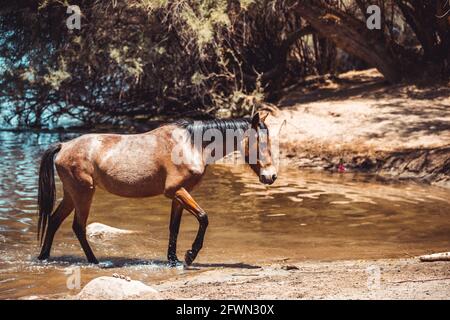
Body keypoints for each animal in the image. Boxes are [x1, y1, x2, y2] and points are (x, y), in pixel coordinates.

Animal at [37, 111, 278, 266]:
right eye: (259, 143)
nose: (271, 176)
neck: (191, 145)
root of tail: (64, 146)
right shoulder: (176, 191)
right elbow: (203, 217)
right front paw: (190, 255)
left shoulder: (180, 195)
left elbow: (174, 228)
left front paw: (174, 260)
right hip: (83, 193)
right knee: (78, 227)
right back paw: (94, 261)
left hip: (72, 194)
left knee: (54, 220)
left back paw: (44, 257)